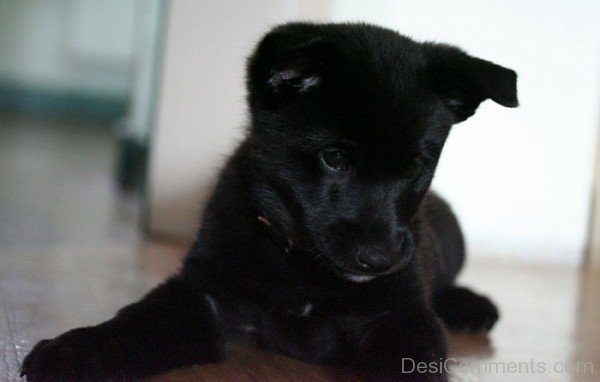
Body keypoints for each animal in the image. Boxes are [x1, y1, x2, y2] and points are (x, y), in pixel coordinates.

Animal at [22, 22, 516, 380]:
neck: (298, 259)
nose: (379, 260)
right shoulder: (204, 292)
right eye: (334, 158)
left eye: (416, 166)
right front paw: (73, 349)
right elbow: (135, 322)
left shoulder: (401, 312)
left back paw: (470, 306)